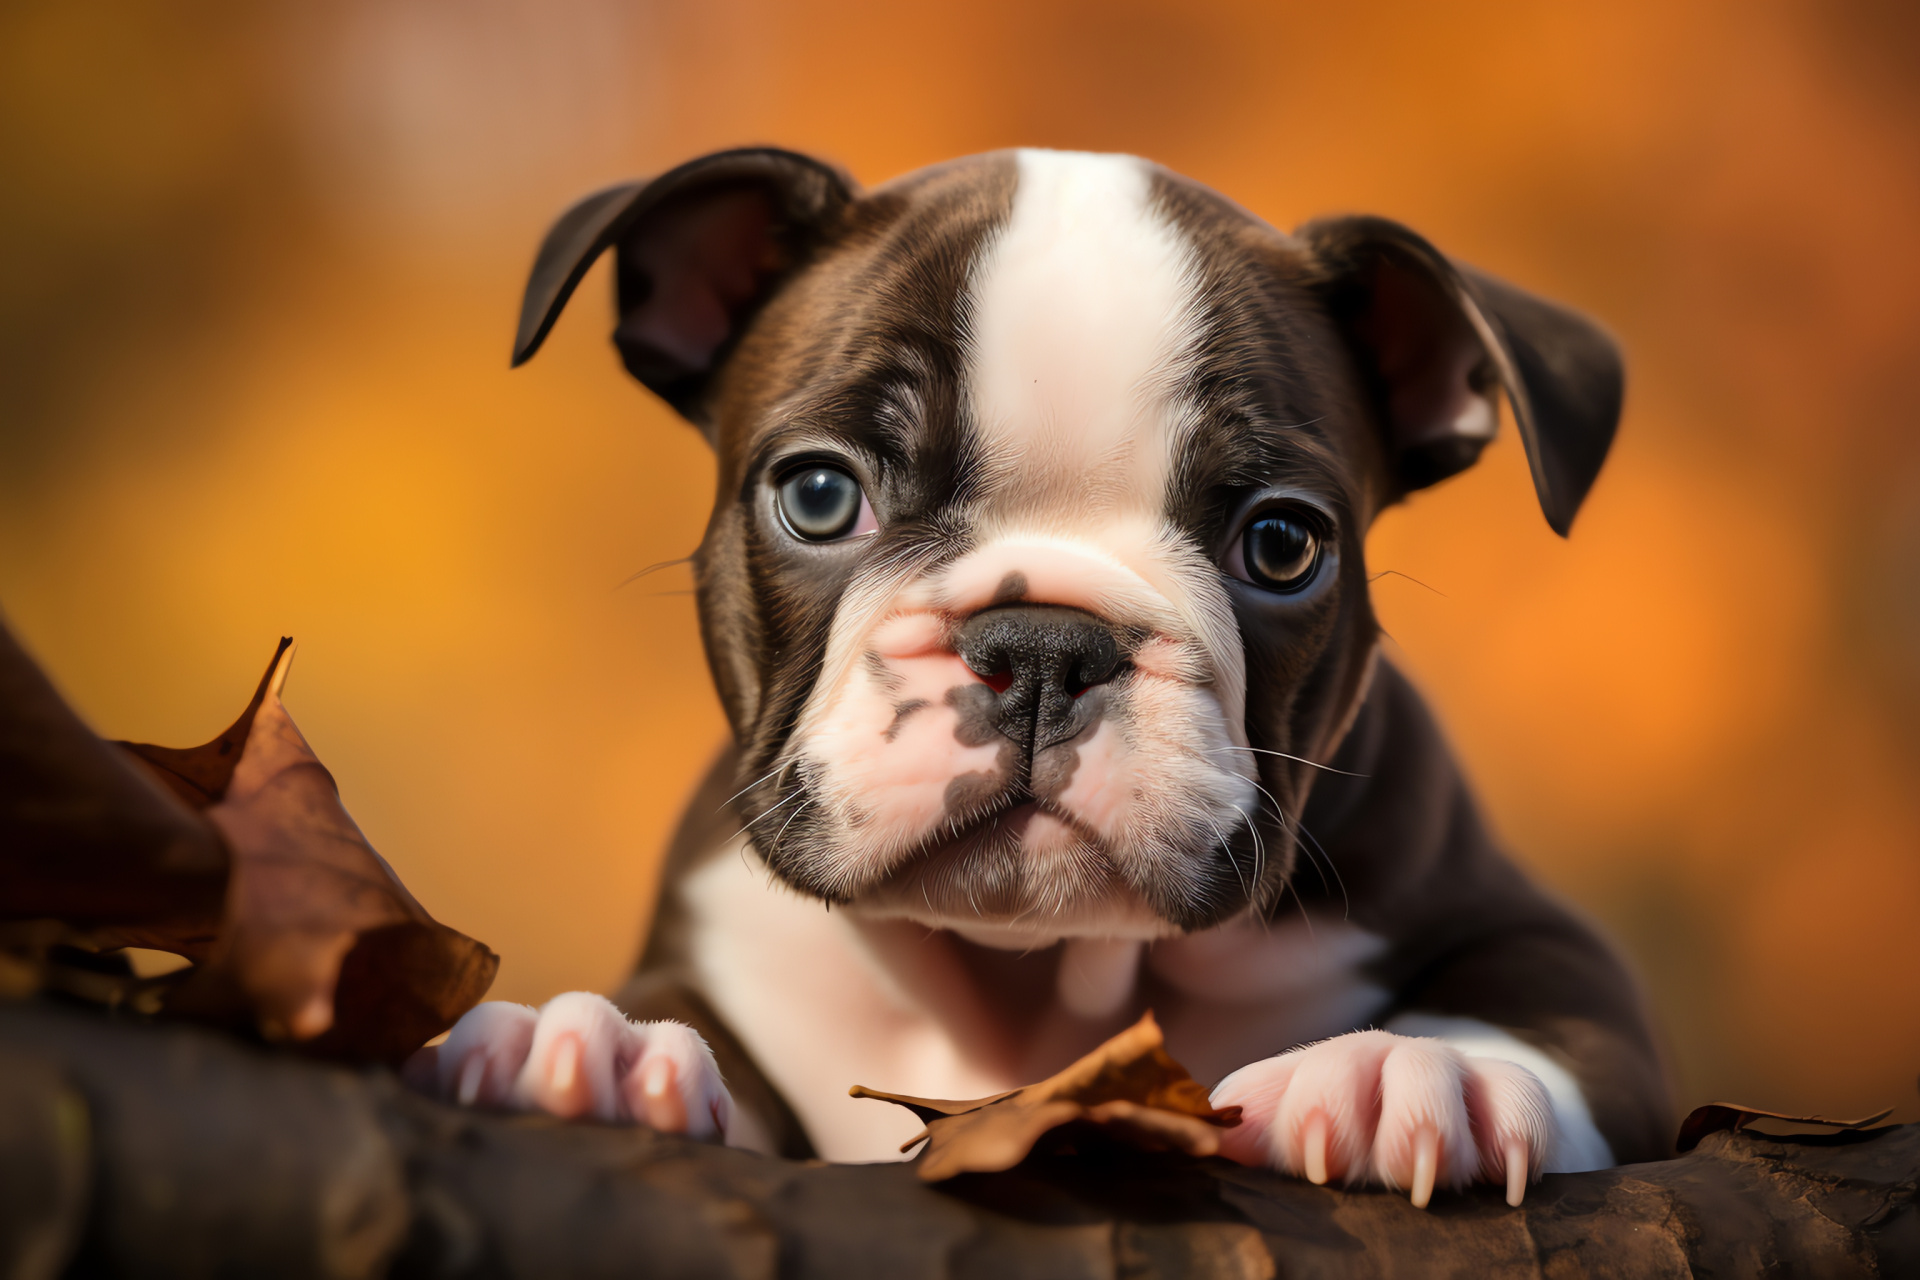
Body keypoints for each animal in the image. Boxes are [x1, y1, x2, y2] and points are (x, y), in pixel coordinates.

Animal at [412, 144, 1674, 1205]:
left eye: (1282, 543)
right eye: (818, 493)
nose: (1044, 646)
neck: (1030, 978)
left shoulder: (1524, 924)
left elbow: (1545, 1011)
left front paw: (1408, 1069)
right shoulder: (722, 946)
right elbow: (693, 1023)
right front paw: (604, 1045)